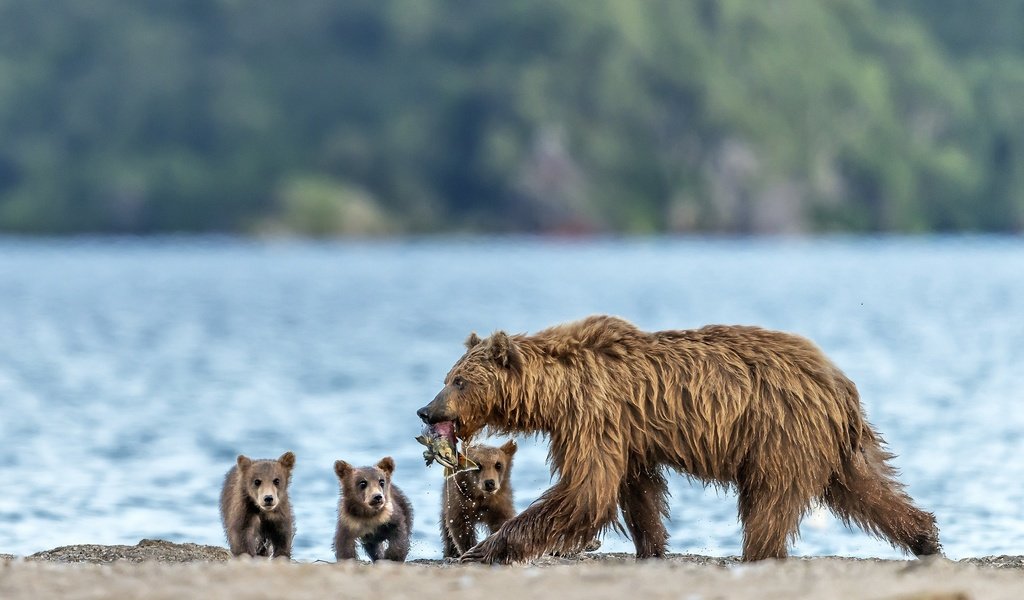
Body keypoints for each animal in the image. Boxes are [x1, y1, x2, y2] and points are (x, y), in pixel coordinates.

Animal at [413, 315, 937, 561]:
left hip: (780, 432)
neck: (557, 391)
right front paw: (652, 544)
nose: (426, 410)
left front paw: (488, 548)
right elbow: (637, 489)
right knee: (865, 488)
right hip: (830, 442)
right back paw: (925, 535)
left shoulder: (595, 415)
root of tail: (840, 384)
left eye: (459, 381)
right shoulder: (629, 434)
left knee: (770, 501)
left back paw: (758, 551)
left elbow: (586, 489)